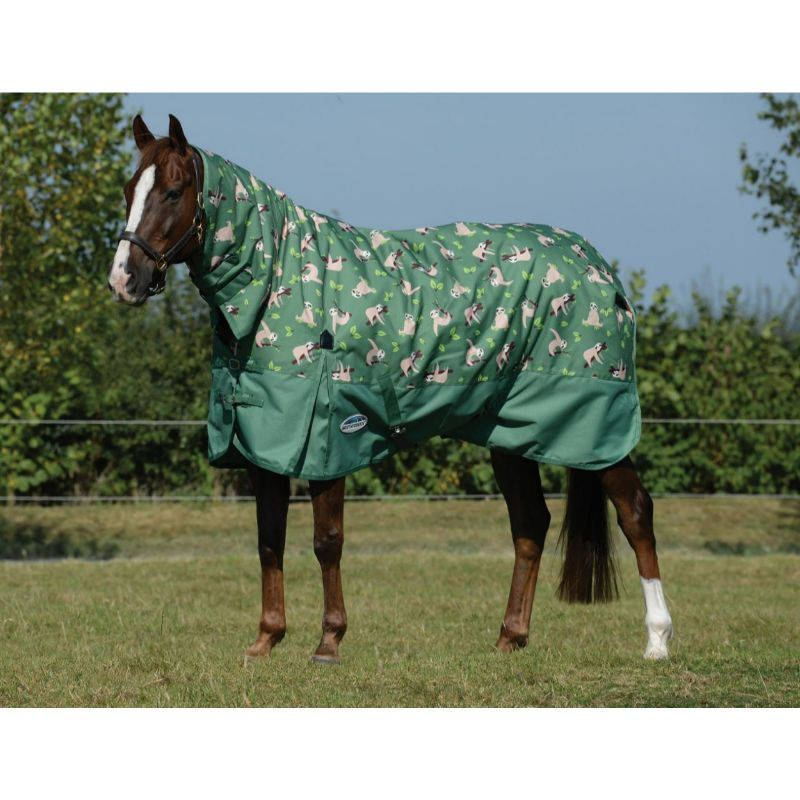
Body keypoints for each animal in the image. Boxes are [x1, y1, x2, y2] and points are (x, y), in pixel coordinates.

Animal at [108, 114, 673, 664]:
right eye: (130, 189)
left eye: (173, 192)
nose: (123, 279)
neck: (278, 285)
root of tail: (597, 268)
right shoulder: (262, 442)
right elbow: (270, 541)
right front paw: (266, 639)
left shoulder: (330, 438)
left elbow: (326, 541)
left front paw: (329, 642)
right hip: (510, 433)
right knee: (531, 524)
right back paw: (510, 639)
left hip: (595, 430)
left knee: (635, 512)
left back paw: (656, 641)